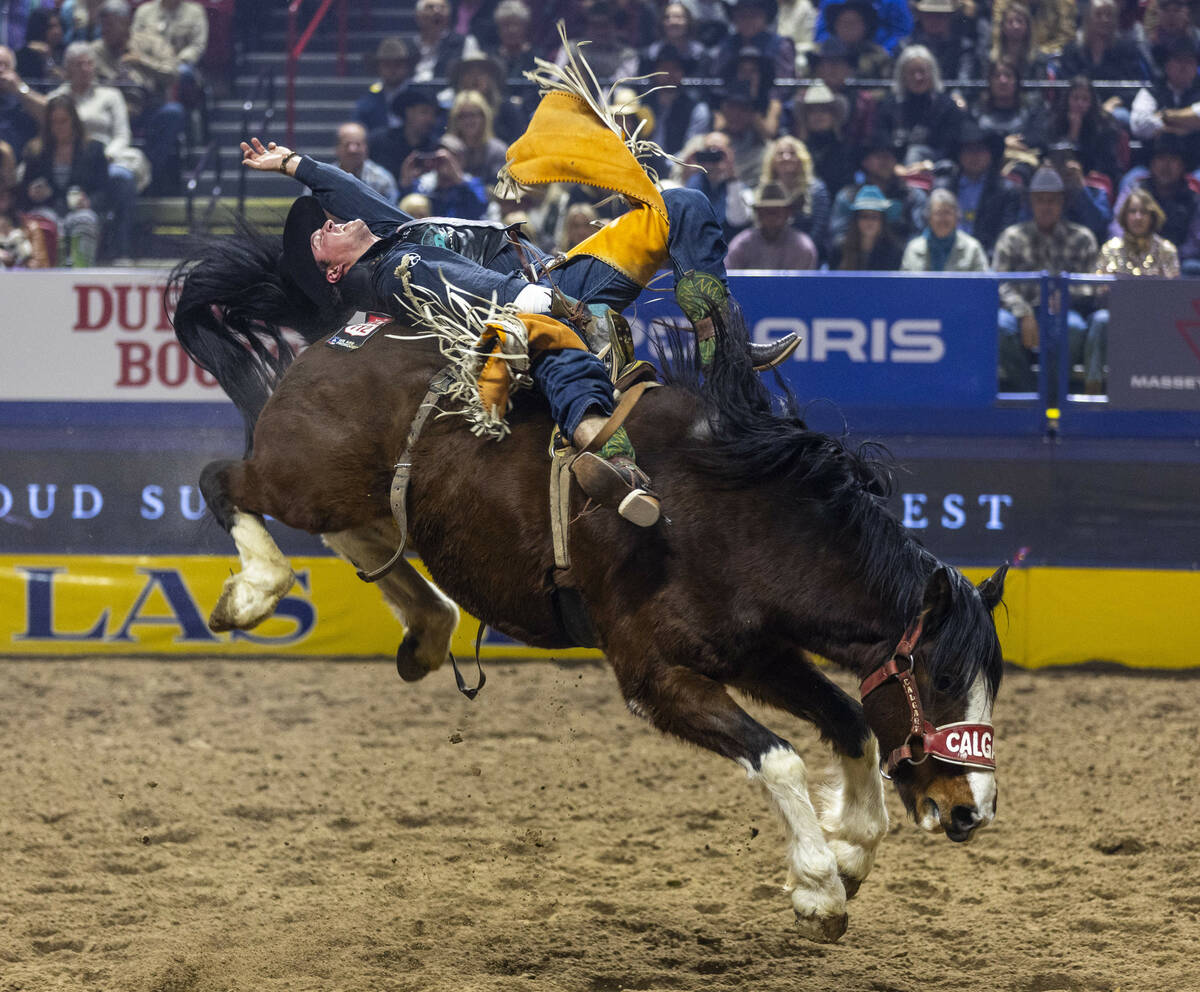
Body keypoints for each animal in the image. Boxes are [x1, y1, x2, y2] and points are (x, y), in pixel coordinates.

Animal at [169, 229, 1008, 940]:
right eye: (941, 678)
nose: (970, 812)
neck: (726, 513)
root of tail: (340, 330)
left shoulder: (756, 654)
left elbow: (851, 722)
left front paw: (853, 850)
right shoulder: (655, 674)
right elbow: (780, 757)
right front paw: (819, 885)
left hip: (350, 491)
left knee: (367, 533)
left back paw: (428, 631)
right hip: (301, 474)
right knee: (224, 481)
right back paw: (254, 592)